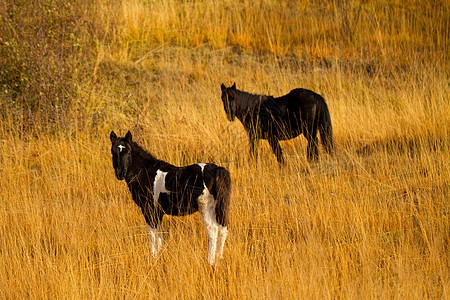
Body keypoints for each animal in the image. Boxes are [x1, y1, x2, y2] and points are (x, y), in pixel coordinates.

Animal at [110, 131, 232, 264]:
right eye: (113, 152)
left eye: (128, 152)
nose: (120, 174)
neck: (145, 172)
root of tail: (216, 170)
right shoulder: (158, 212)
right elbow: (158, 233)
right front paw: (160, 255)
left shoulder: (148, 209)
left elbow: (151, 233)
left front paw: (153, 257)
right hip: (219, 207)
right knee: (223, 228)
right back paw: (219, 258)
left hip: (205, 207)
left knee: (212, 229)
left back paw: (210, 261)